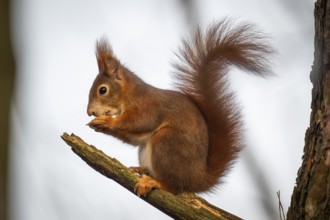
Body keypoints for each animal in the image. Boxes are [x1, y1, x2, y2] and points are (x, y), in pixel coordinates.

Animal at [87, 18, 274, 197]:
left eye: (102, 90)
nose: (90, 112)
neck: (130, 94)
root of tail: (197, 179)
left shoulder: (148, 106)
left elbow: (139, 122)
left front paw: (108, 121)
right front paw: (100, 125)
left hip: (167, 142)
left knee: (175, 187)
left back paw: (155, 182)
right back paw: (143, 170)